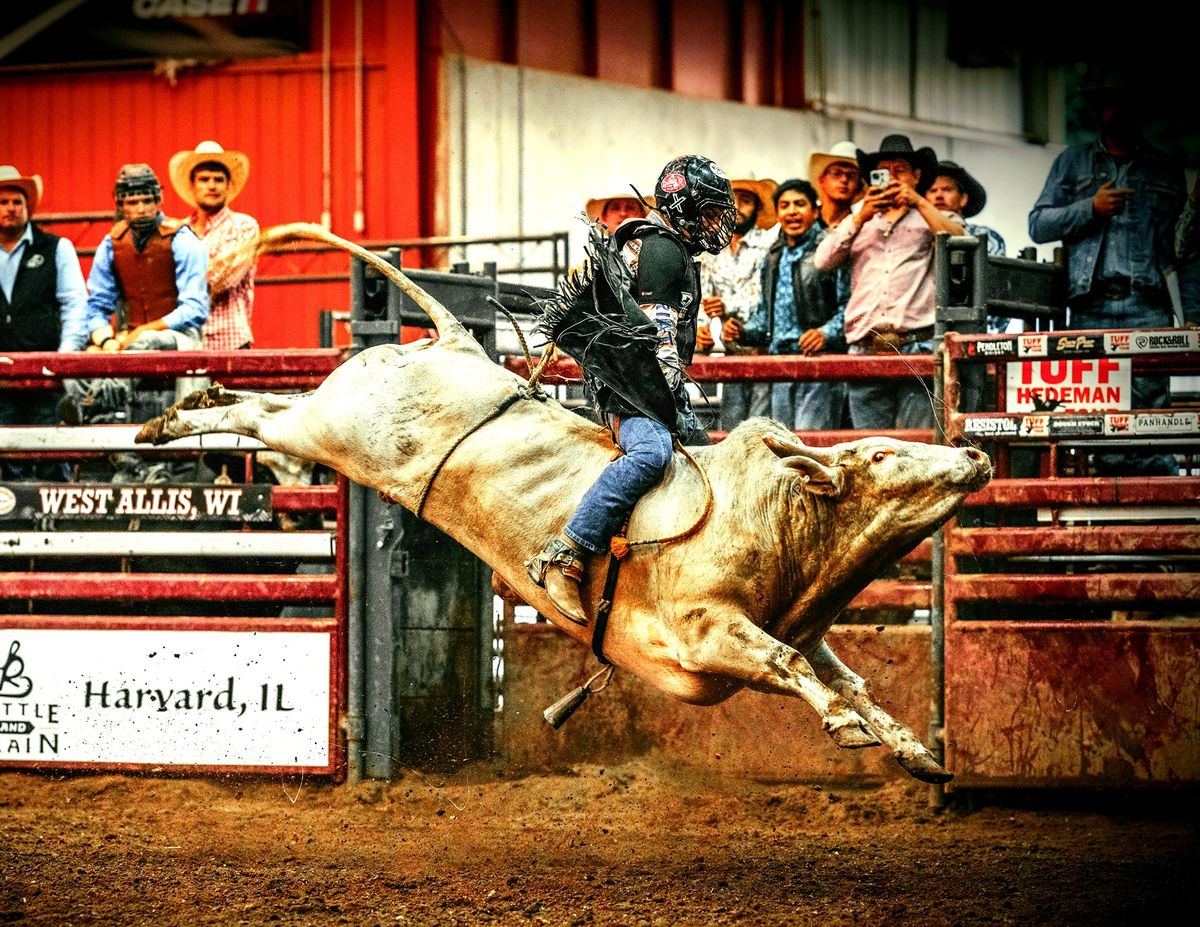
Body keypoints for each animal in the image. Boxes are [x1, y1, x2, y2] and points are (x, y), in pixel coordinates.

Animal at [136, 222, 988, 782]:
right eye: (878, 452)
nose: (975, 454)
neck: (778, 519)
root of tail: (454, 340)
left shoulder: (800, 627)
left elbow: (847, 678)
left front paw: (916, 750)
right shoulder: (703, 632)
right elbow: (790, 665)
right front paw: (849, 728)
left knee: (260, 408)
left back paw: (184, 402)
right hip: (338, 429)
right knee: (264, 415)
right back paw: (172, 416)